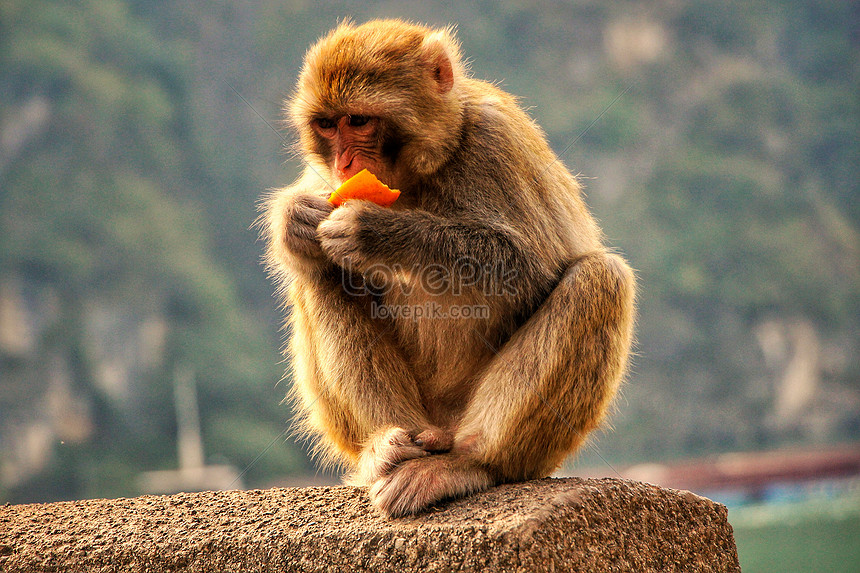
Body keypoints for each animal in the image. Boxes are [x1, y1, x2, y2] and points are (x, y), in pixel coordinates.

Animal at [264, 20, 640, 516]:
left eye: (359, 121)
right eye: (327, 124)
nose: (344, 161)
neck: (420, 173)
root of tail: (439, 428)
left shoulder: (496, 139)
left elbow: (531, 268)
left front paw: (378, 231)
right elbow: (309, 243)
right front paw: (295, 219)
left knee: (600, 278)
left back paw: (467, 463)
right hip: (413, 419)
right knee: (318, 274)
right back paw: (385, 447)